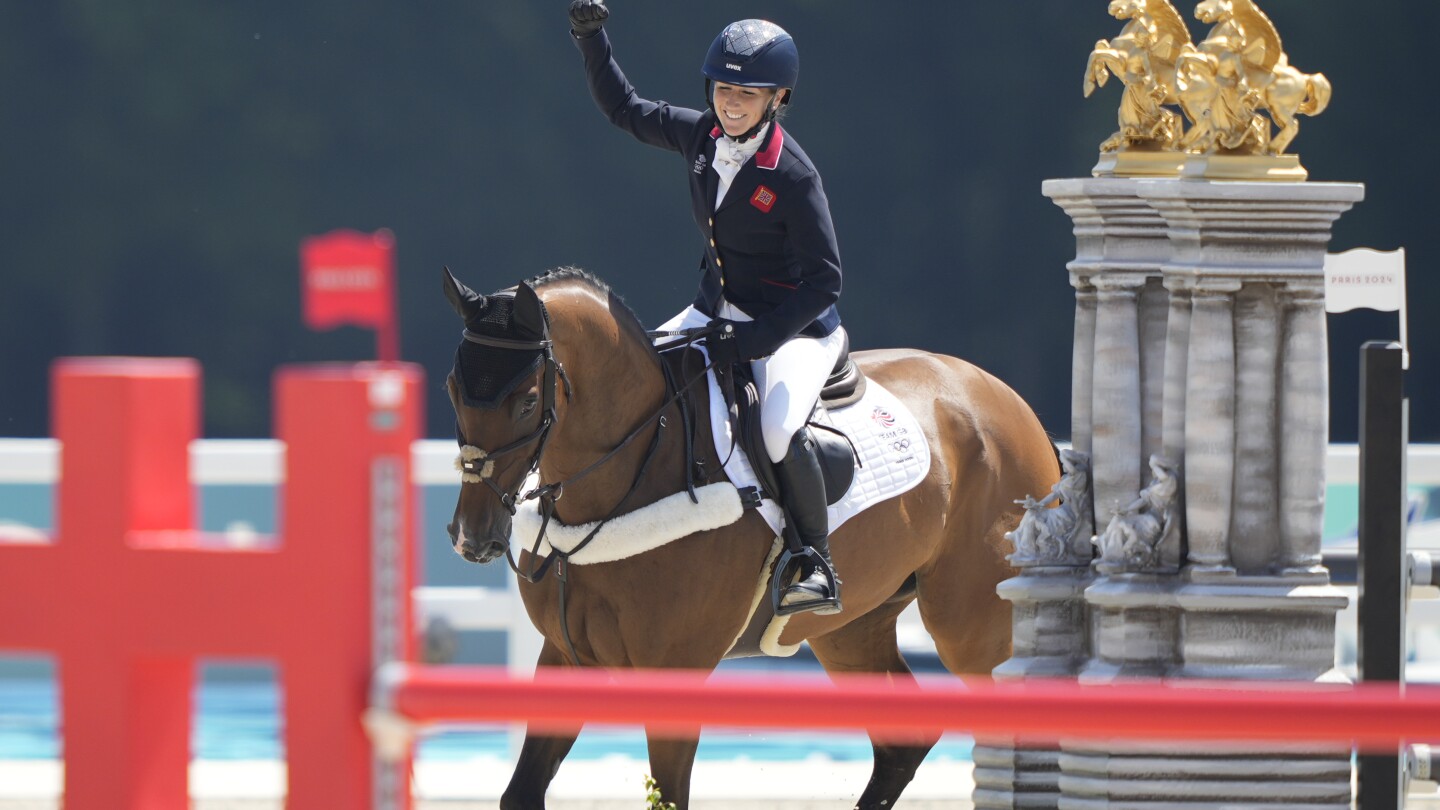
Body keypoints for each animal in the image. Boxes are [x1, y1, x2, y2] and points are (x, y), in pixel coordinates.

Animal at [443, 266, 1065, 807]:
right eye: (452, 388)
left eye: (527, 400)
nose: (474, 536)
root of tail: (1015, 407)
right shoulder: (566, 657)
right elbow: (520, 794)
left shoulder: (676, 671)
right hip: (852, 629)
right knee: (902, 743)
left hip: (972, 628)